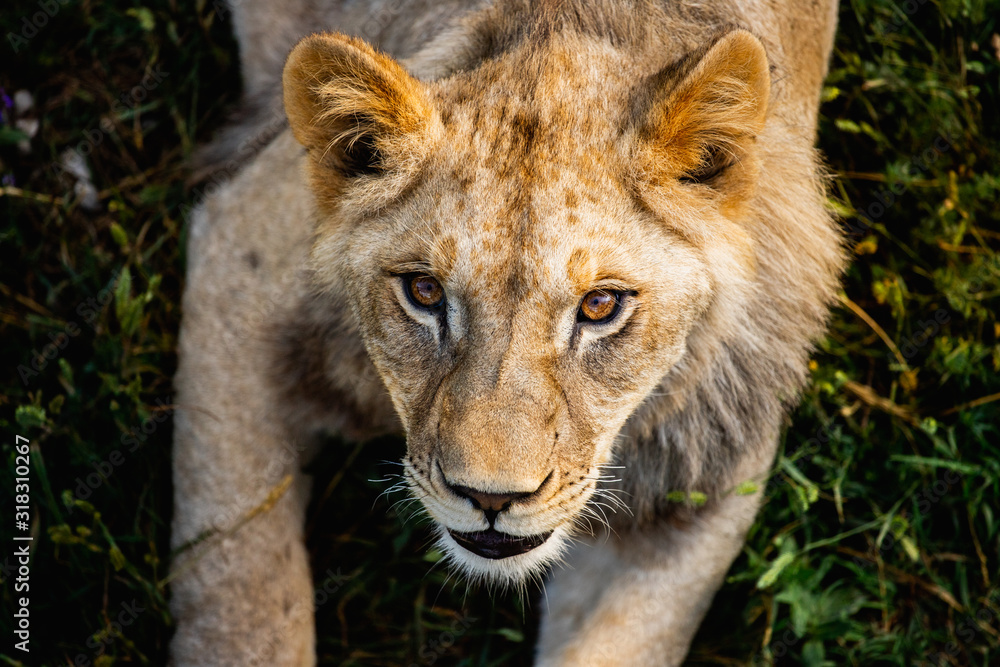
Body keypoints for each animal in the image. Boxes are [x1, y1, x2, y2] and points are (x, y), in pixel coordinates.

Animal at [168, 1, 844, 665]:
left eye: (600, 304)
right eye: (424, 292)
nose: (491, 499)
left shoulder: (706, 466)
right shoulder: (241, 272)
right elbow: (245, 608)